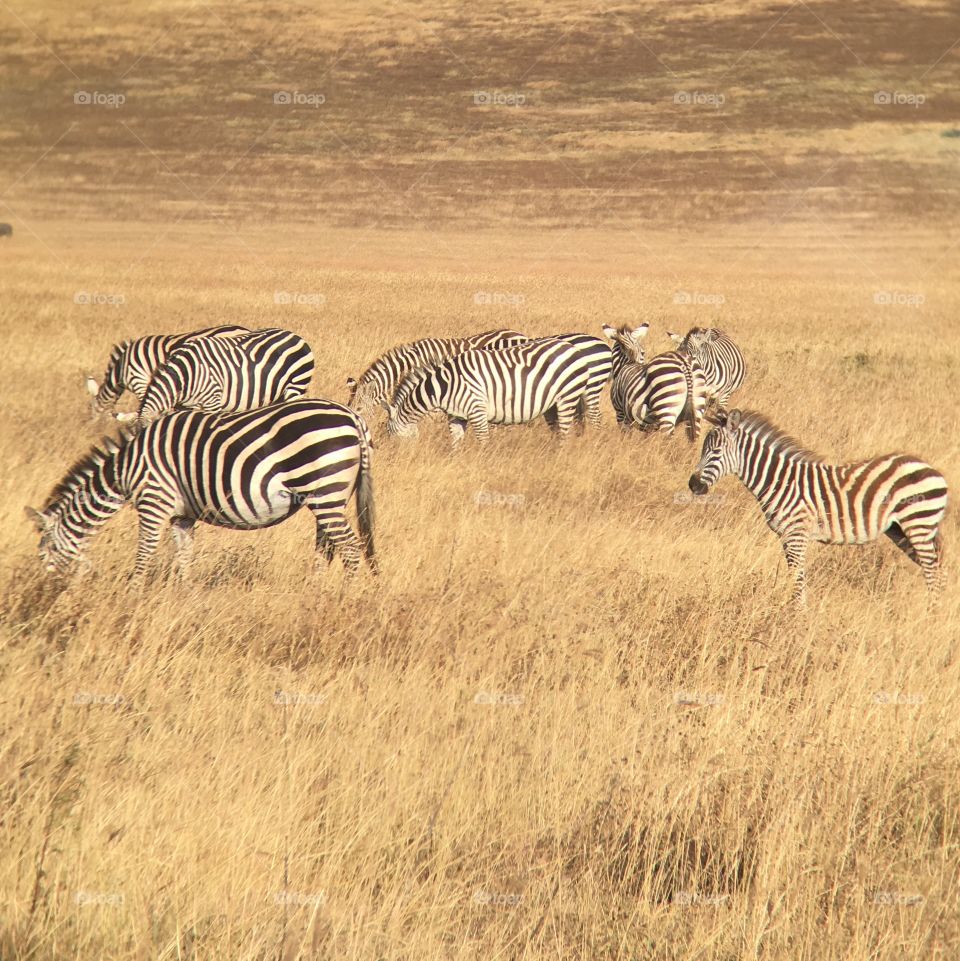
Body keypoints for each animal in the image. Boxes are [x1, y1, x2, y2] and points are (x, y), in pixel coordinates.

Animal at [25, 399, 376, 579]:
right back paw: (314, 591)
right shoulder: (181, 516)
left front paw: (134, 597)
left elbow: (144, 554)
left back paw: (343, 597)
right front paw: (183, 599)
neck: (127, 469)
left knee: (349, 547)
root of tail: (352, 416)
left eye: (45, 552)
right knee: (327, 547)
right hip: (329, 495)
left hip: (325, 491)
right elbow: (184, 558)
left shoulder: (154, 503)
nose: (45, 593)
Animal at [137, 328, 314, 427]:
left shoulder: (212, 400)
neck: (185, 375)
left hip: (296, 386)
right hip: (276, 395)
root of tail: (295, 336)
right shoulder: (185, 407)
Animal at [386, 336, 612, 445]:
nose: (391, 459)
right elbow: (455, 444)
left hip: (568, 397)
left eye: (390, 434)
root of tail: (574, 349)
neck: (445, 385)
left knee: (569, 431)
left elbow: (483, 442)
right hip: (553, 404)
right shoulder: (456, 416)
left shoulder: (476, 410)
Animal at [688, 409, 947, 603]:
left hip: (918, 523)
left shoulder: (796, 534)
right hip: (901, 529)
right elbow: (796, 578)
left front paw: (797, 620)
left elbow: (797, 579)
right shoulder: (786, 536)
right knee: (936, 567)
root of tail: (930, 468)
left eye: (716, 451)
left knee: (932, 570)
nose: (693, 485)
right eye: (703, 449)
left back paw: (931, 615)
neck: (780, 480)